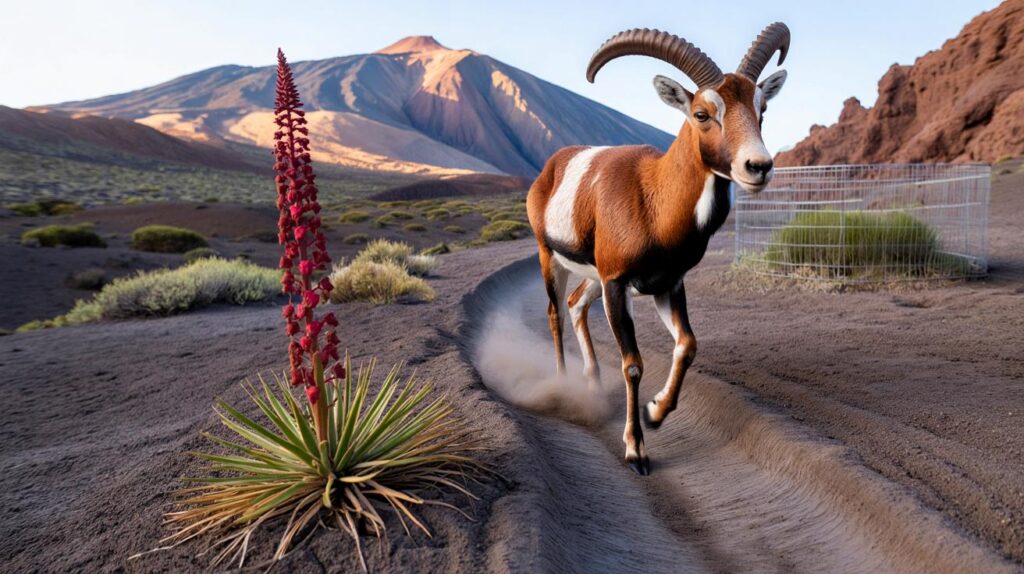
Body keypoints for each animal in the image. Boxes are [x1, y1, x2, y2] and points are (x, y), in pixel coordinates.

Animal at [526, 23, 790, 475]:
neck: (652, 199)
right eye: (702, 113)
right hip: (552, 259)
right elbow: (633, 364)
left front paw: (655, 412)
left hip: (594, 276)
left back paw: (592, 383)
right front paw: (636, 450)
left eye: (763, 109)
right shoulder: (618, 285)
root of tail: (553, 167)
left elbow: (687, 344)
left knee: (577, 303)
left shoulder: (668, 285)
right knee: (555, 312)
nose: (758, 167)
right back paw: (563, 386)